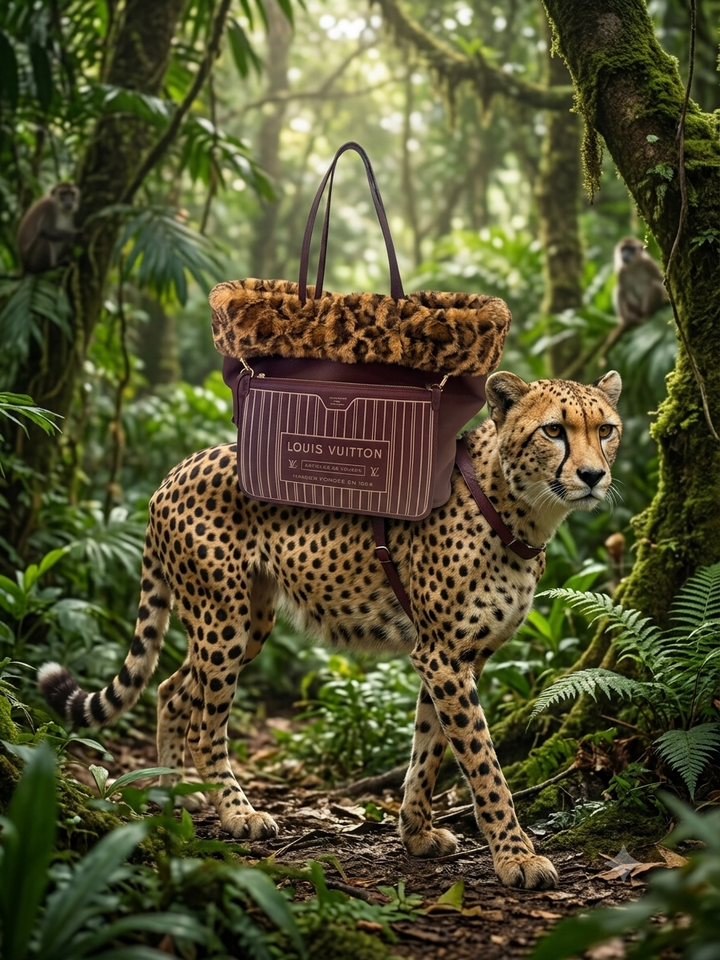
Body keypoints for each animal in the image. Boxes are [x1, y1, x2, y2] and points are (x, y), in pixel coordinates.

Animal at [39, 369, 622, 890]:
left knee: (171, 689)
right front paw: (516, 857)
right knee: (206, 725)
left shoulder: (454, 657)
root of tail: (176, 469)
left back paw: (168, 793)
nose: (593, 476)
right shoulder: (444, 657)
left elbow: (428, 749)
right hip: (223, 620)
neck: (522, 509)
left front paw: (416, 832)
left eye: (606, 430)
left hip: (248, 621)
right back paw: (236, 813)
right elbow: (483, 763)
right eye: (554, 430)